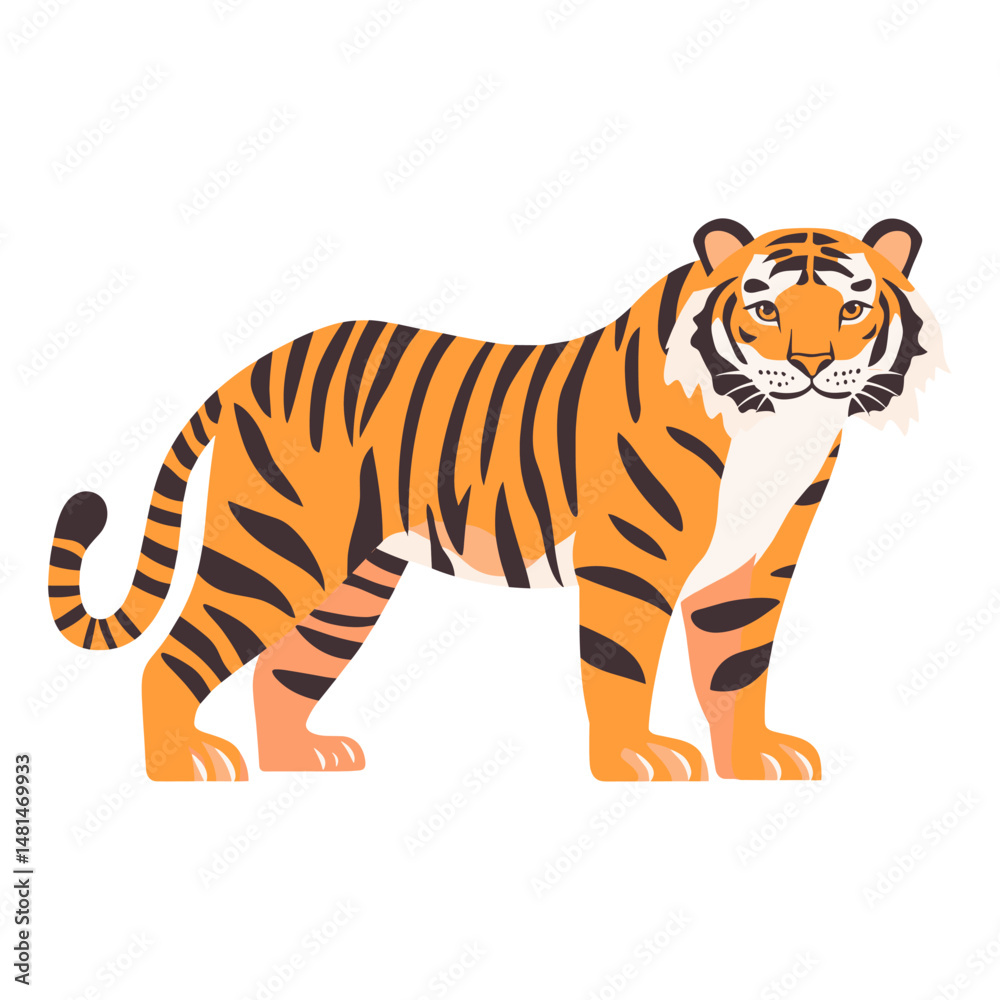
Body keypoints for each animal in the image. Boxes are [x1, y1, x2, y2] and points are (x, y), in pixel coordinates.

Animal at [48, 218, 944, 781]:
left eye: (853, 308)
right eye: (763, 308)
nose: (812, 365)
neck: (779, 428)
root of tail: (252, 368)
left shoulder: (754, 567)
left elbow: (737, 667)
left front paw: (754, 761)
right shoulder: (631, 558)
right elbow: (622, 666)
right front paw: (636, 761)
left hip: (352, 583)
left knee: (285, 671)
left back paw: (302, 760)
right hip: (274, 549)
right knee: (176, 655)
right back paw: (183, 767)